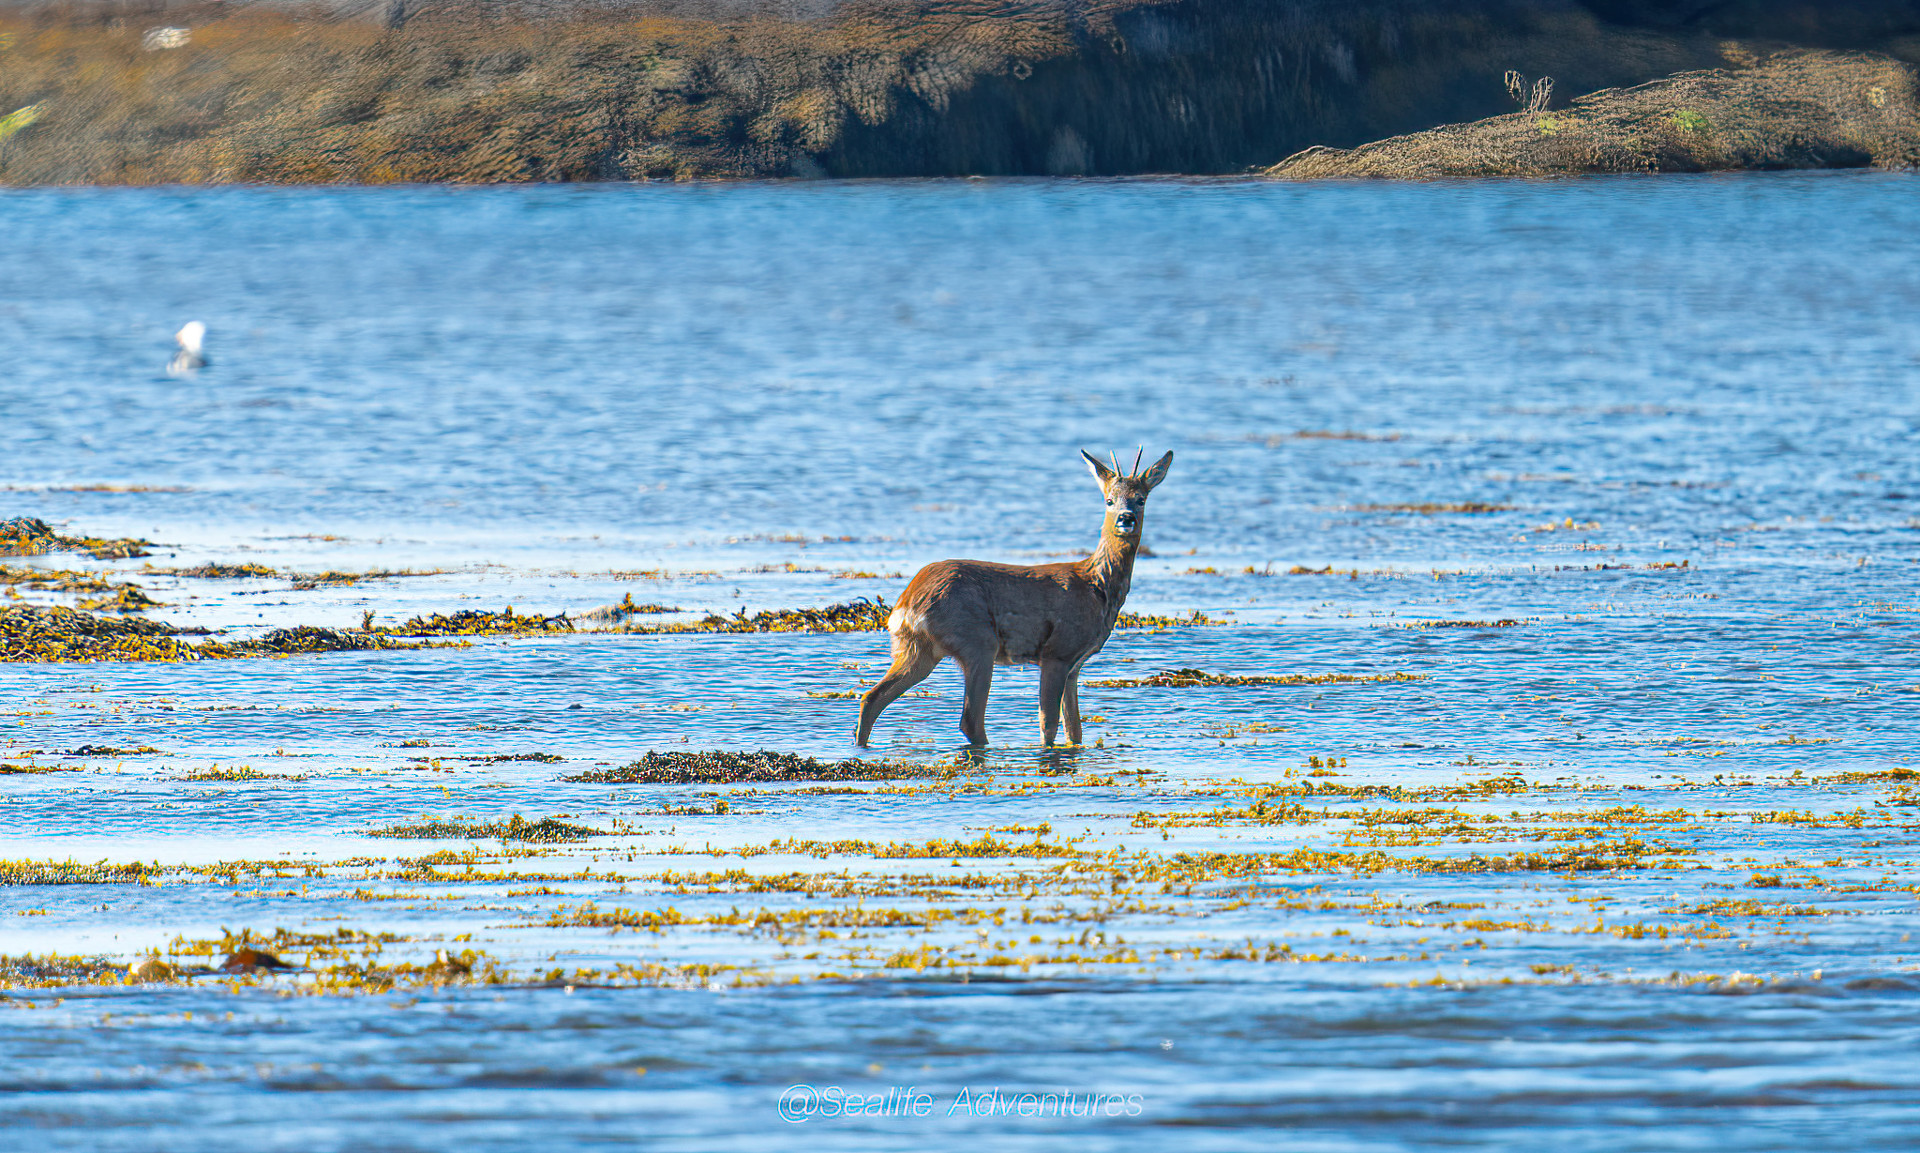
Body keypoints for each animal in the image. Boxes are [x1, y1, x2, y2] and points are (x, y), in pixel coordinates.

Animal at [856, 445, 1167, 752]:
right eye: (1109, 500)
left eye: (1140, 499)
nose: (1125, 518)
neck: (1096, 585)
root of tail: (907, 602)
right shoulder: (1057, 651)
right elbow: (1049, 724)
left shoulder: (1075, 665)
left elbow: (1075, 730)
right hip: (977, 640)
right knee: (970, 719)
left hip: (916, 648)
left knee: (871, 698)